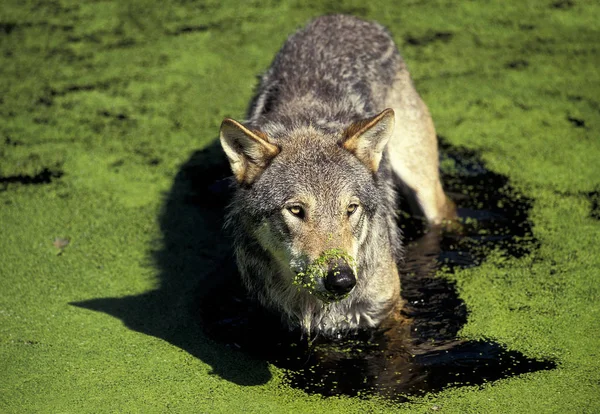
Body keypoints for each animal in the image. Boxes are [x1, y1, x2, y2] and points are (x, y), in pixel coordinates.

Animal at [219, 14, 454, 336]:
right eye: (296, 210)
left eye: (351, 209)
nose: (341, 279)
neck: (314, 309)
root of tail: (342, 17)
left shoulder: (390, 313)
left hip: (425, 191)